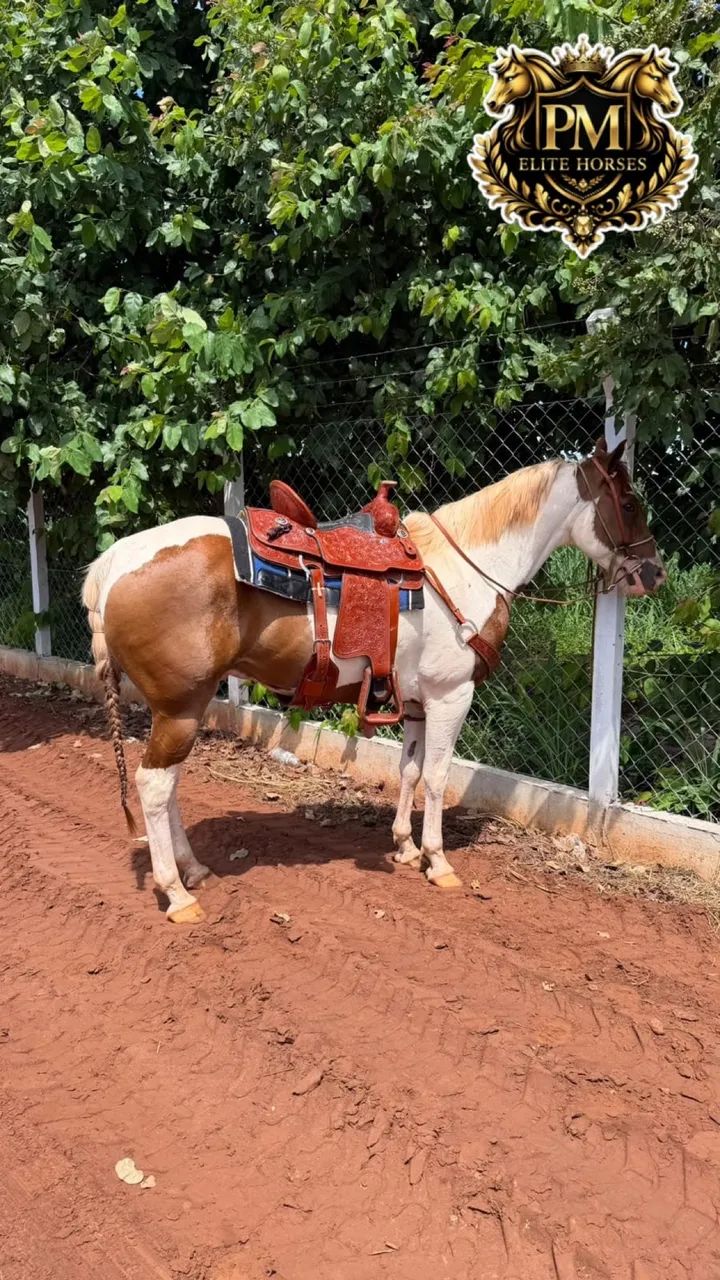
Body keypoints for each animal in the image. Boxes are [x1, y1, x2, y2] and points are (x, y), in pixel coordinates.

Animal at [83, 437, 666, 924]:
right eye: (628, 503)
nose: (655, 573)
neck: (465, 570)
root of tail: (112, 565)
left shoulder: (416, 702)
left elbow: (409, 771)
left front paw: (405, 846)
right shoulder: (453, 696)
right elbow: (438, 777)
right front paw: (437, 860)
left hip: (182, 710)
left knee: (169, 785)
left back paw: (193, 869)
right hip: (180, 708)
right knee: (154, 785)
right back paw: (176, 893)